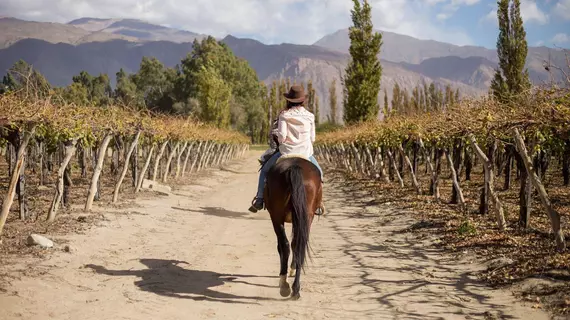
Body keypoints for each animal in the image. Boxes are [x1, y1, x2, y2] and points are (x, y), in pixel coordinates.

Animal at [260, 155, 320, 300]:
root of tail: (294, 167)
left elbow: (283, 246)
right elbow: (294, 244)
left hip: (277, 216)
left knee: (285, 245)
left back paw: (284, 285)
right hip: (306, 217)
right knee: (298, 246)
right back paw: (295, 289)